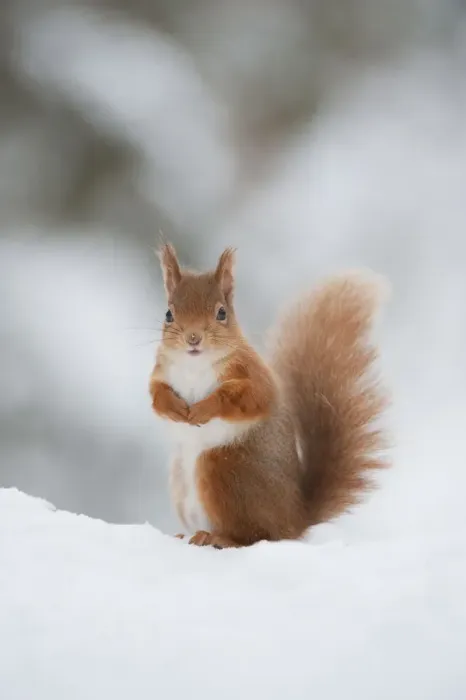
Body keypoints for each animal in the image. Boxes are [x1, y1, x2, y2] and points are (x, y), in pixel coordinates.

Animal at [149, 243, 389, 549]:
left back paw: (218, 537)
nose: (193, 338)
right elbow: (156, 394)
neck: (194, 365)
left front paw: (203, 408)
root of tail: (295, 520)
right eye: (168, 314)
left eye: (221, 313)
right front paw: (174, 409)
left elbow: (247, 398)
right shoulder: (160, 371)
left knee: (256, 535)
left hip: (220, 469)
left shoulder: (253, 376)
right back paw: (186, 535)